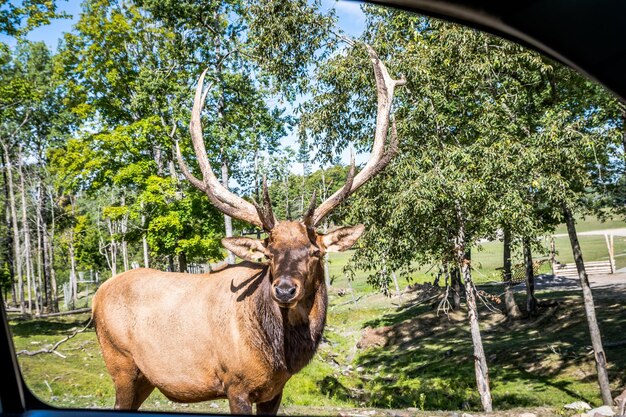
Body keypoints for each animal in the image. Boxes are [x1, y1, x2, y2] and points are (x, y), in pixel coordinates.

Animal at [92, 44, 404, 414]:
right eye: (268, 253)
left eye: (315, 252)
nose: (284, 289)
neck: (279, 355)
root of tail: (96, 297)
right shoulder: (235, 384)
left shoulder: (274, 391)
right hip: (121, 364)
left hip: (143, 379)